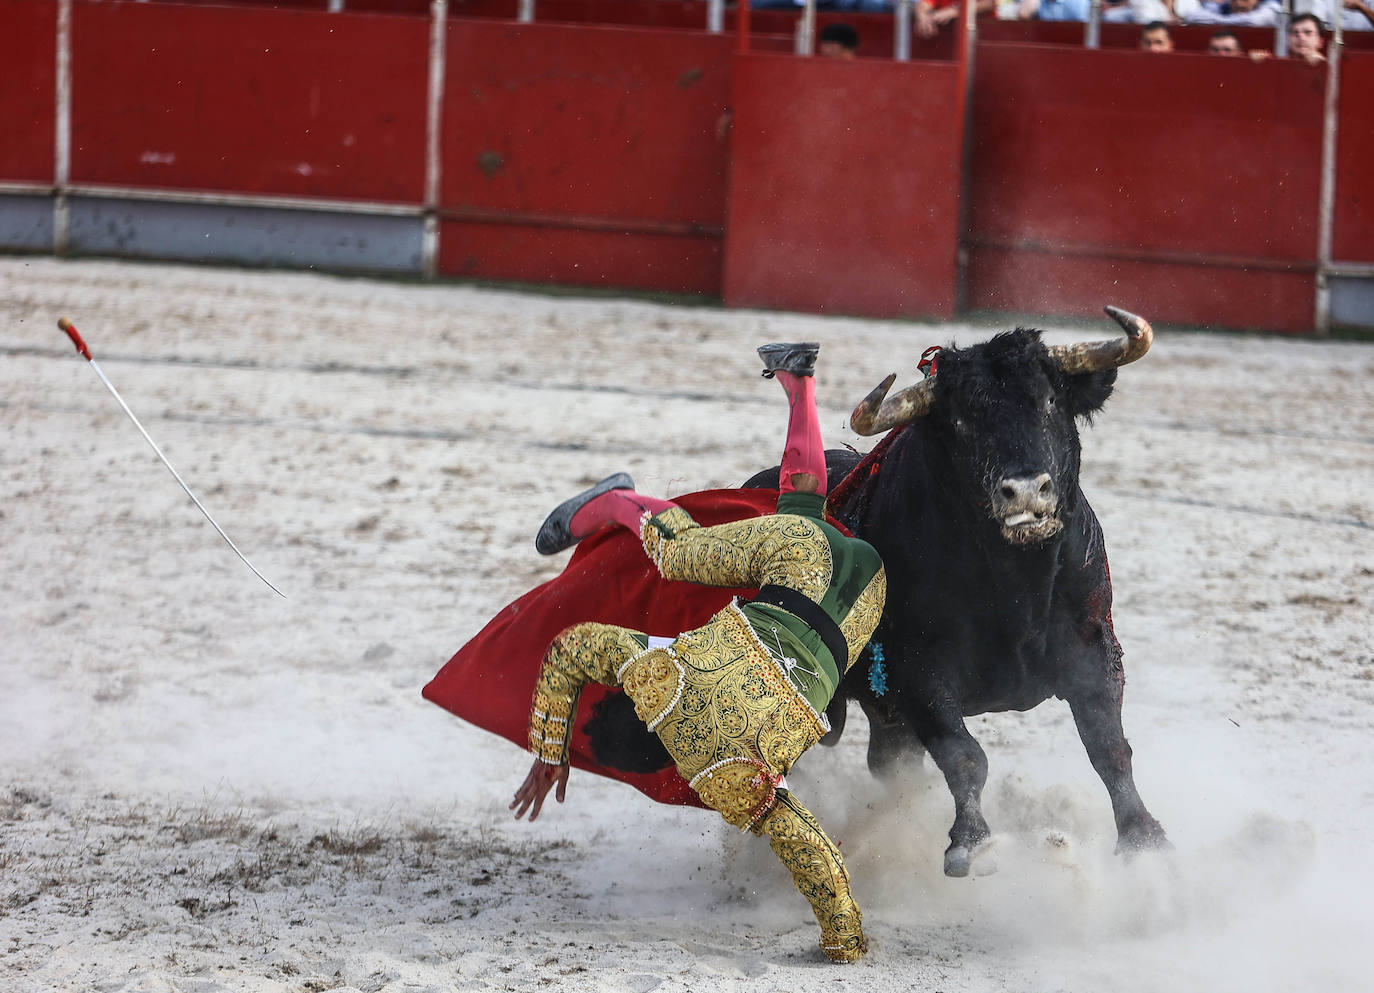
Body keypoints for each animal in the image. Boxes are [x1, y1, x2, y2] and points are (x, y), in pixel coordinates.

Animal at [582, 310, 1170, 879]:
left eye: (1050, 400)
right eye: (961, 423)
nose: (1025, 491)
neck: (1015, 581)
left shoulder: (1094, 649)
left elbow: (1108, 747)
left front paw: (1144, 841)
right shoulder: (920, 674)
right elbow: (965, 755)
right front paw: (972, 843)